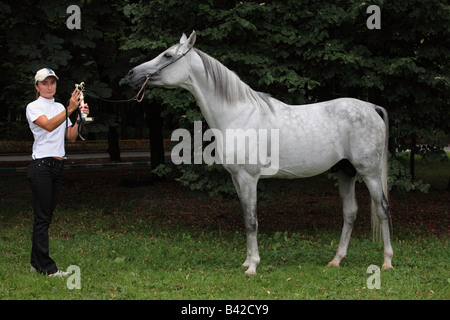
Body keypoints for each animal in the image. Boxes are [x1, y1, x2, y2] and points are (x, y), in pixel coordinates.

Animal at [128, 30, 392, 276]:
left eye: (167, 55)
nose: (132, 74)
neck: (238, 115)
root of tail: (371, 107)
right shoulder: (237, 178)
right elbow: (246, 218)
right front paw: (247, 261)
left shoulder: (249, 178)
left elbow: (252, 221)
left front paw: (253, 266)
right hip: (346, 172)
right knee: (350, 213)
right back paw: (336, 260)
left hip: (369, 173)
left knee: (382, 209)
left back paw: (387, 261)